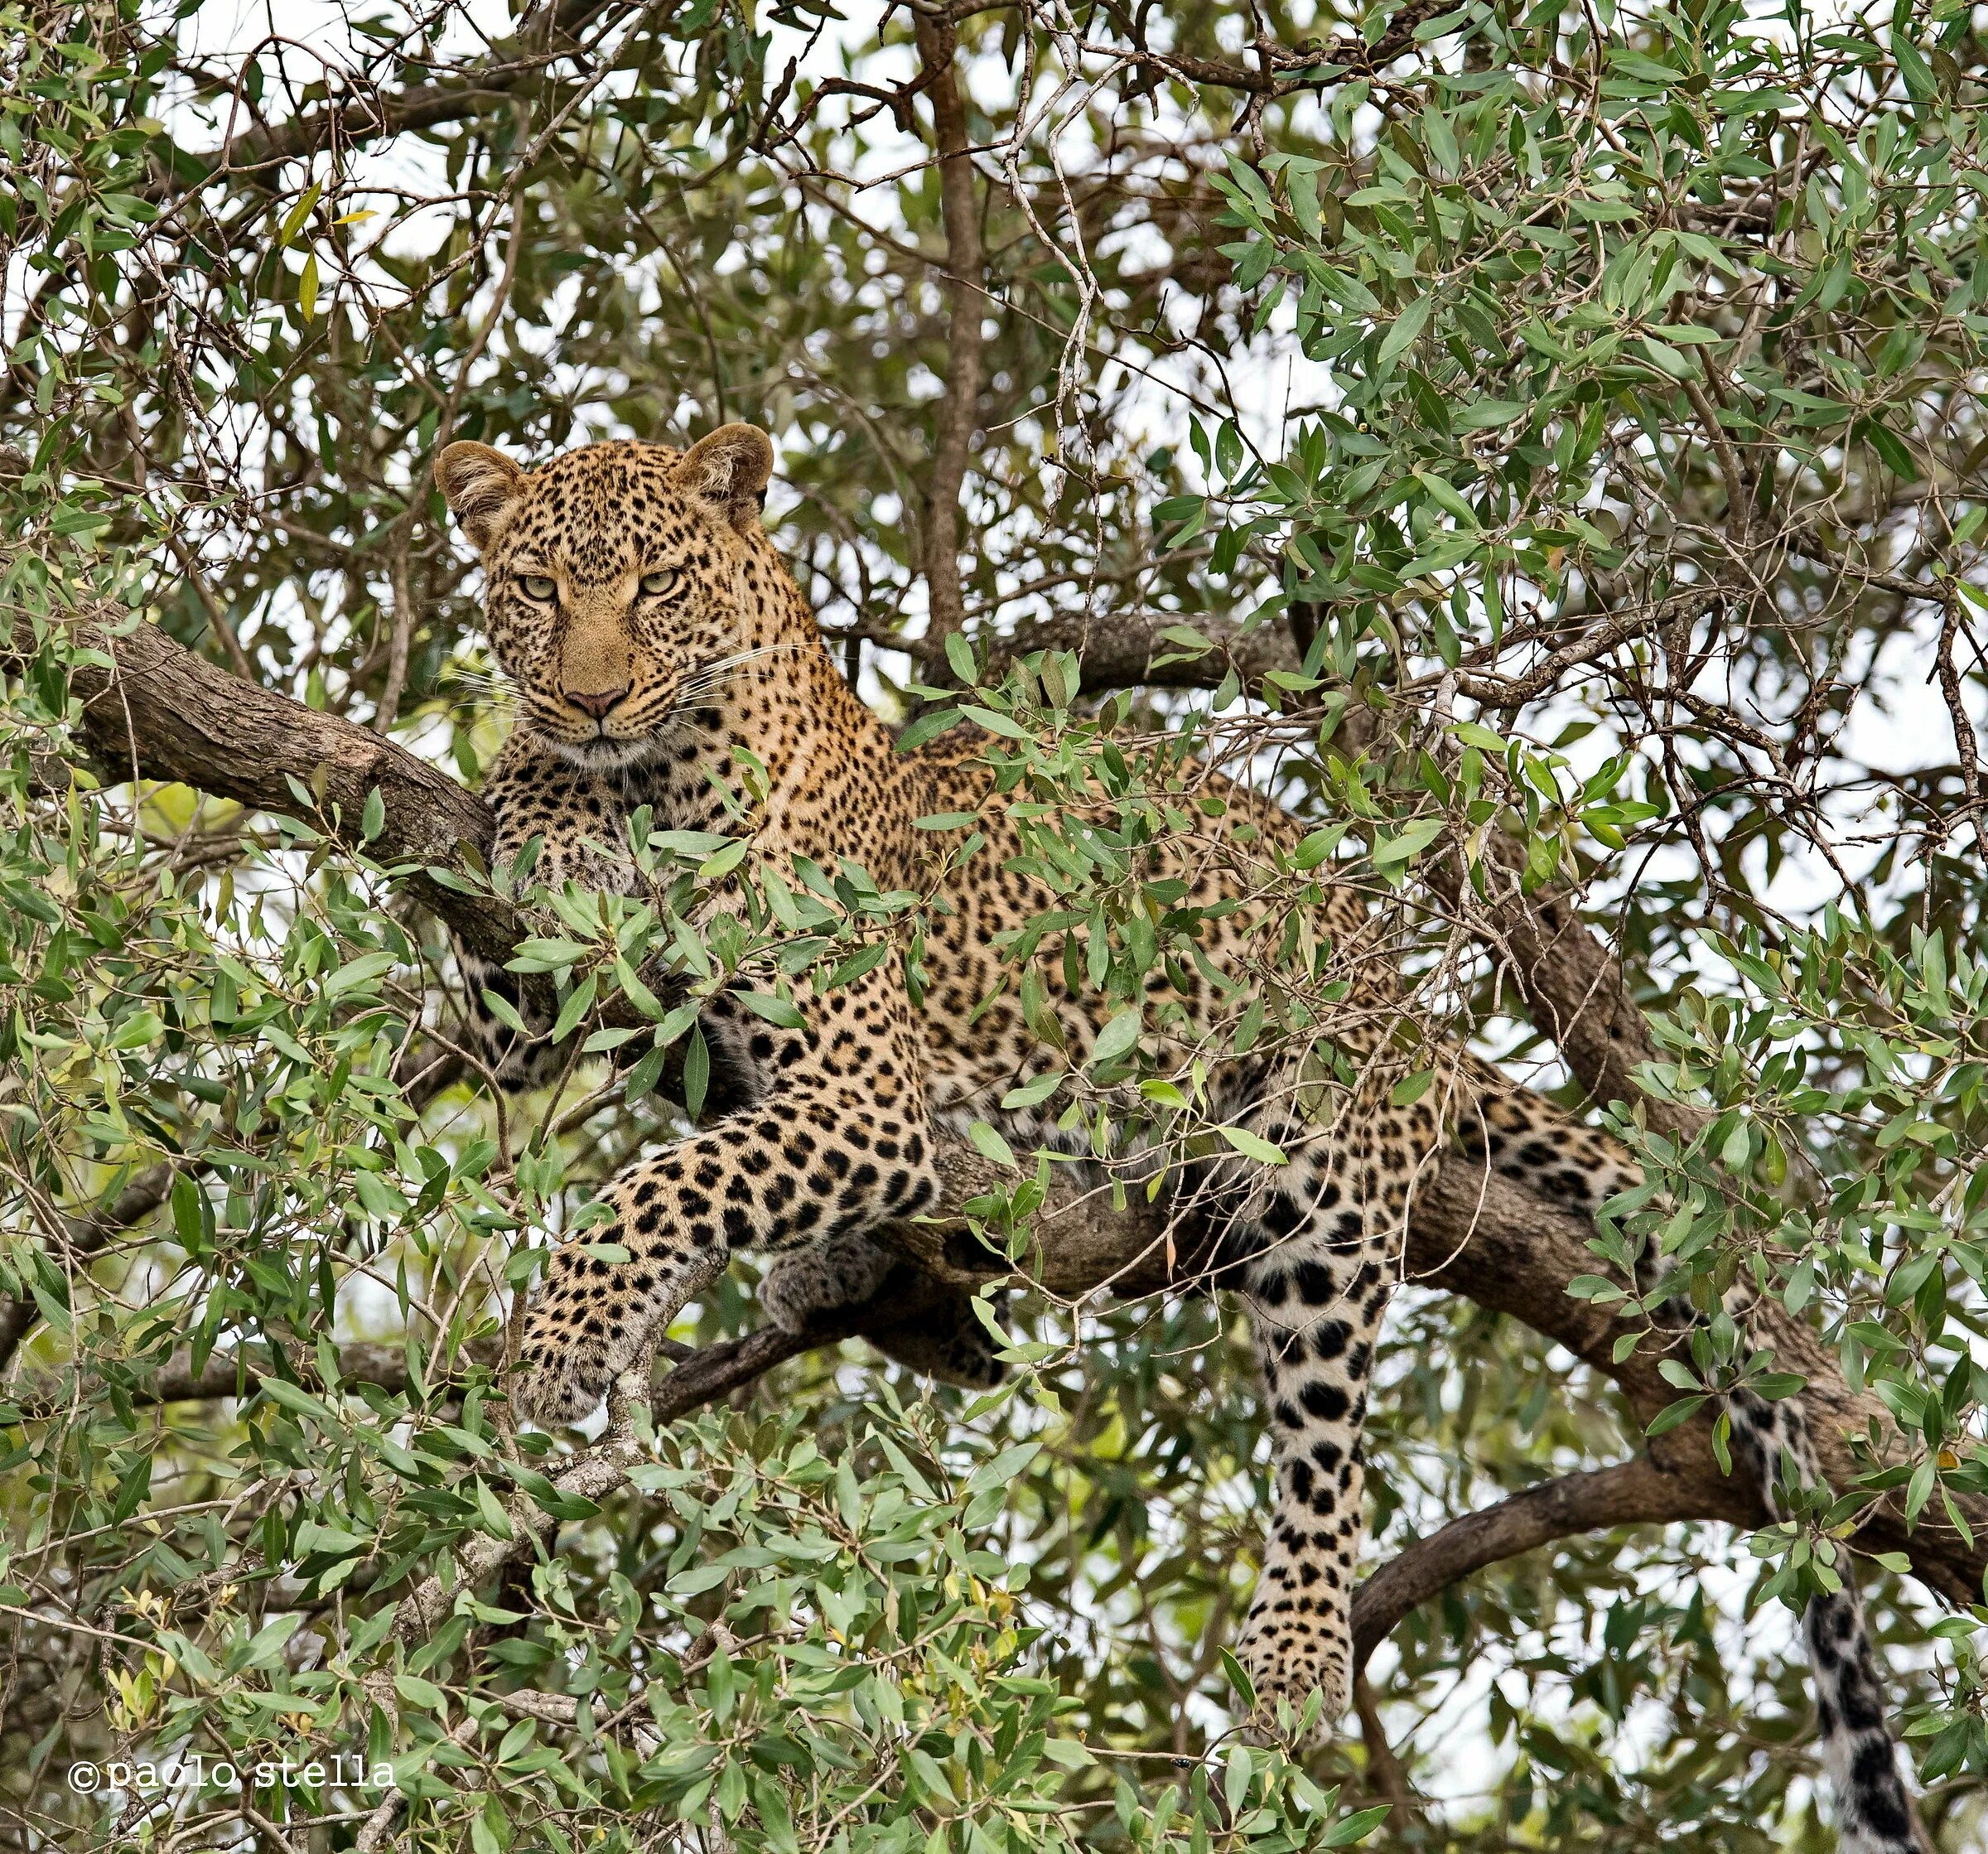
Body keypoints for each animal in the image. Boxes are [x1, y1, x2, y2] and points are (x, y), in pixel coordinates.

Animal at [439, 427, 1924, 1846]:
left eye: (657, 584)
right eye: (538, 588)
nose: (591, 696)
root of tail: (1396, 981)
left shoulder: (868, 1093)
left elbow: (663, 1179)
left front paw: (557, 1335)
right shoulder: (546, 1012)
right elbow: (536, 937)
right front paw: (551, 819)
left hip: (1326, 1173)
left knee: (1323, 1431)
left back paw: (1295, 1650)